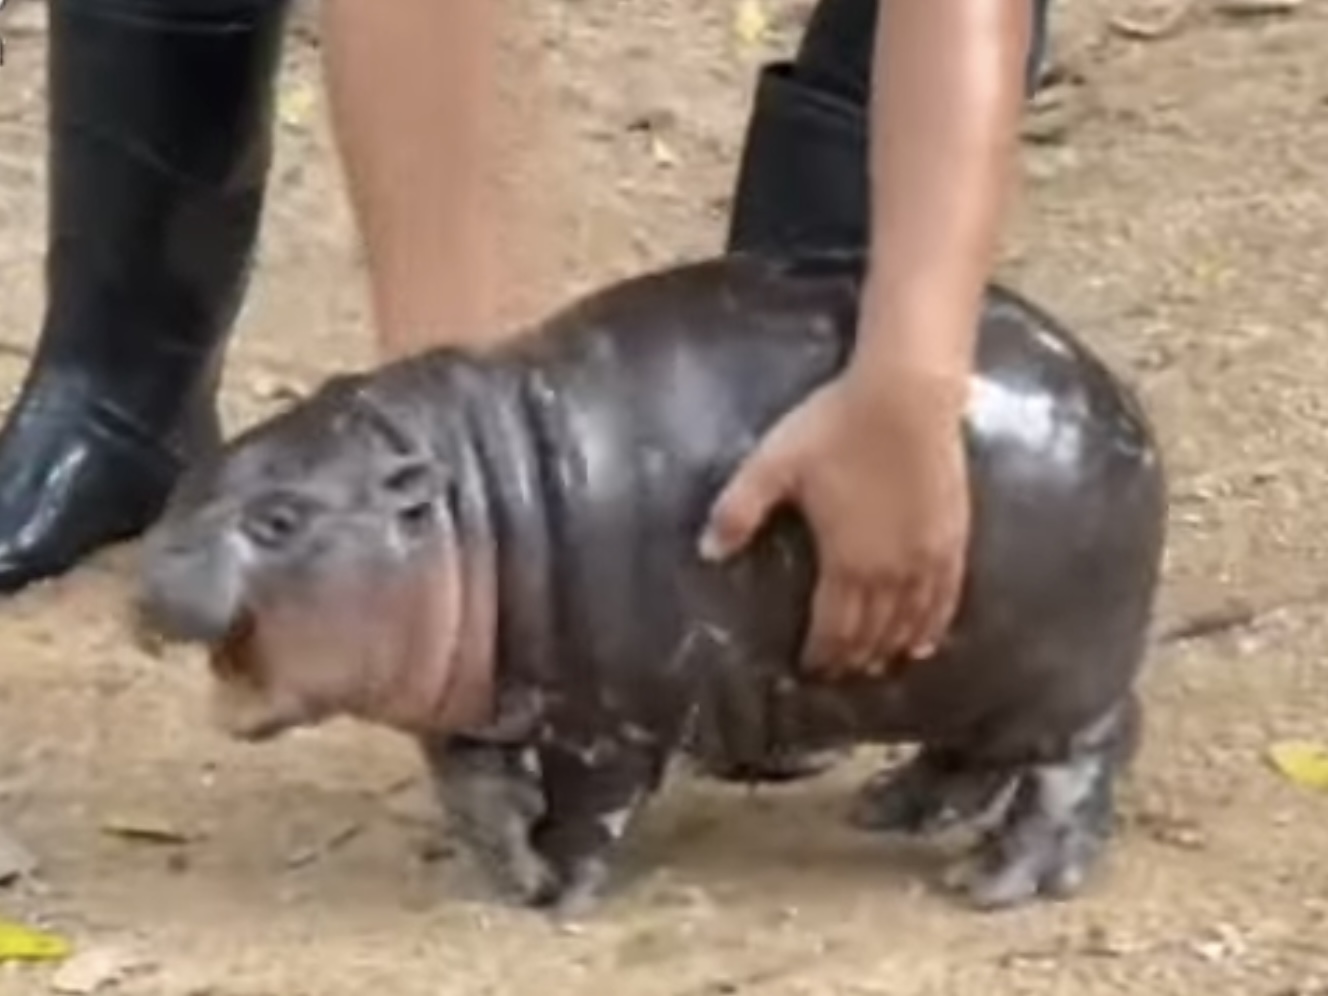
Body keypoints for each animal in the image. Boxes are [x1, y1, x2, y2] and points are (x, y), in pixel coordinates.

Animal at [135, 250, 1168, 918]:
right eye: (190, 476)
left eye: (279, 520)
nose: (146, 577)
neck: (473, 505)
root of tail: (1119, 401)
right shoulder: (470, 705)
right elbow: (476, 791)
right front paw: (509, 873)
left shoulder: (612, 719)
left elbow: (590, 810)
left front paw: (562, 896)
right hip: (969, 675)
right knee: (974, 753)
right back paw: (889, 809)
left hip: (1064, 681)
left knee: (1084, 760)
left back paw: (996, 884)